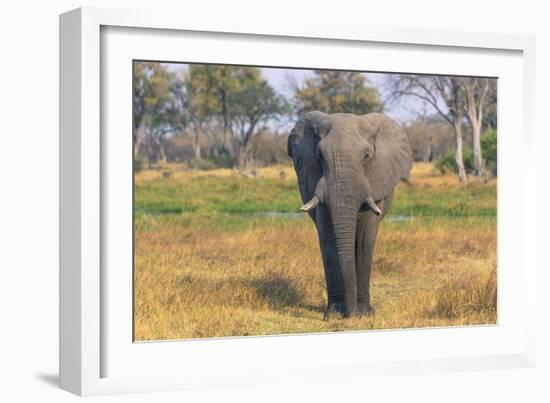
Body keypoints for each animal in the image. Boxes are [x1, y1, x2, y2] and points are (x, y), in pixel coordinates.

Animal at [288, 111, 414, 318]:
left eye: (367, 156)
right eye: (319, 156)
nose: (350, 313)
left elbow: (364, 238)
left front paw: (364, 313)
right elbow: (328, 239)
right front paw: (333, 313)